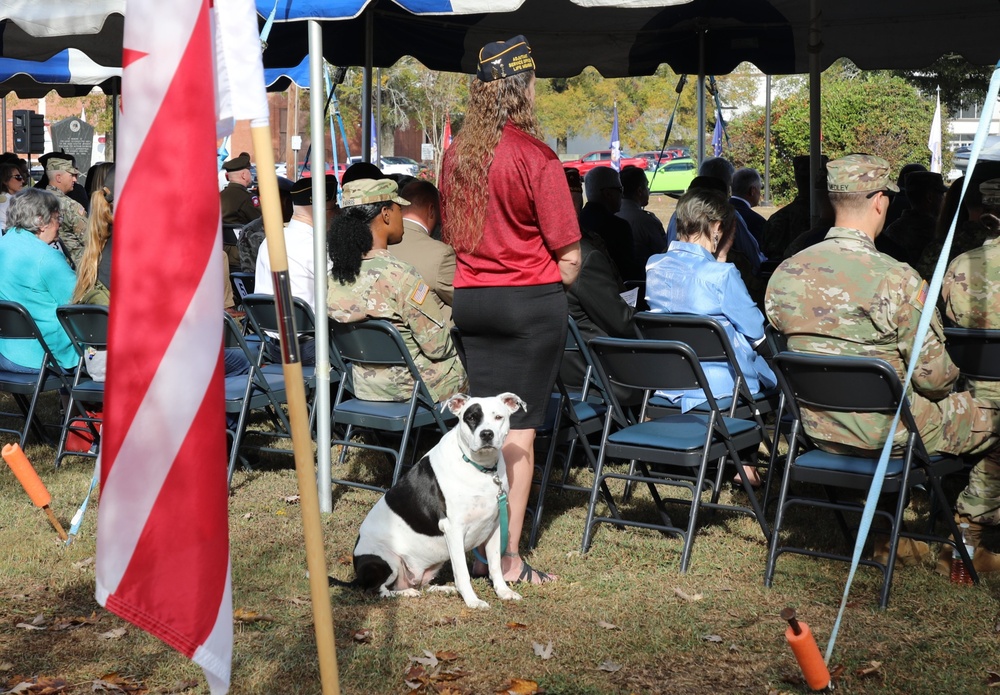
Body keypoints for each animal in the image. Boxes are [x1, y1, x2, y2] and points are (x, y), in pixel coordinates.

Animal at [342, 394, 524, 612]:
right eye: (471, 417)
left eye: (498, 417)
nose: (486, 434)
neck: (481, 468)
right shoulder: (453, 529)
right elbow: (462, 572)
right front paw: (472, 600)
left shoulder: (495, 526)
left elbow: (496, 565)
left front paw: (504, 592)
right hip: (386, 560)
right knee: (377, 590)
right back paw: (407, 593)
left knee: (421, 584)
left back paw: (443, 588)